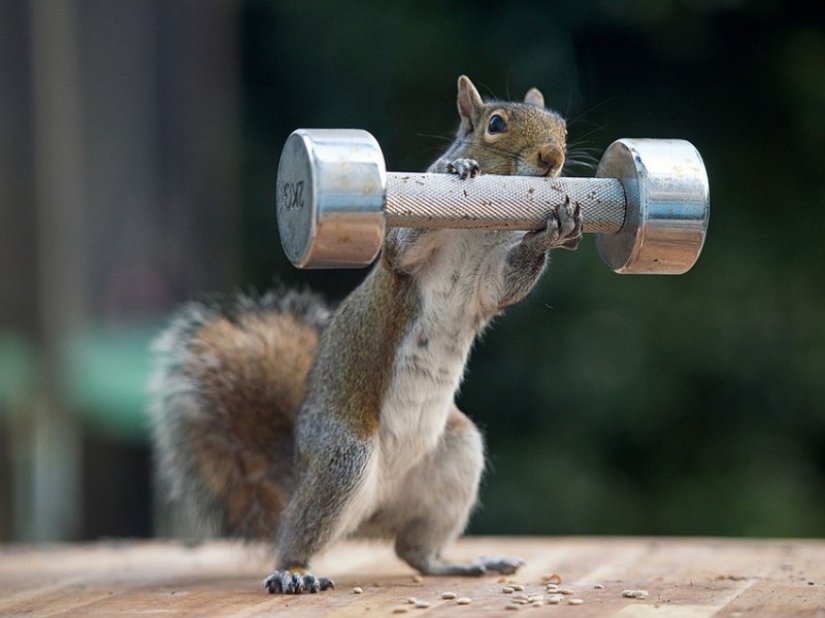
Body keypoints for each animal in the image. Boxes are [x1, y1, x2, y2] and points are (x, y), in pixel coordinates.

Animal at [149, 75, 582, 594]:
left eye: (562, 125)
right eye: (495, 124)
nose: (551, 158)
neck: (481, 232)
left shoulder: (488, 288)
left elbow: (510, 282)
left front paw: (555, 228)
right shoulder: (406, 258)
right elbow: (406, 244)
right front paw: (460, 166)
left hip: (455, 456)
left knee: (414, 550)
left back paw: (459, 563)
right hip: (344, 457)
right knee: (299, 532)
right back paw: (294, 571)